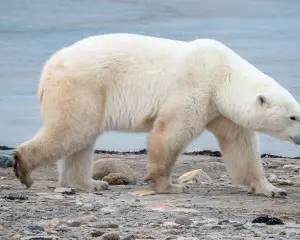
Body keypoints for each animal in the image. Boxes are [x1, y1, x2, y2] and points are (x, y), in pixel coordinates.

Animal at [12, 34, 300, 199]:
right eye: (293, 117)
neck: (224, 76)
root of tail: (47, 69)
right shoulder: (196, 86)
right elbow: (172, 131)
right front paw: (170, 186)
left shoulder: (221, 109)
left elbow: (241, 148)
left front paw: (271, 189)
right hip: (84, 86)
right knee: (72, 130)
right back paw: (24, 167)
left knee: (82, 138)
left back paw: (89, 184)